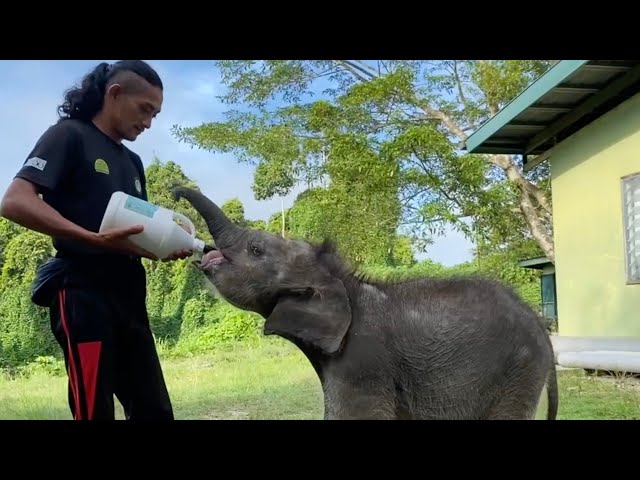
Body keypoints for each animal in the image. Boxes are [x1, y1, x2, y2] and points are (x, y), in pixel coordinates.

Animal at [172, 186, 556, 418]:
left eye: (255, 249)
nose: (175, 192)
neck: (341, 282)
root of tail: (539, 325)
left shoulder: (363, 360)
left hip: (518, 372)